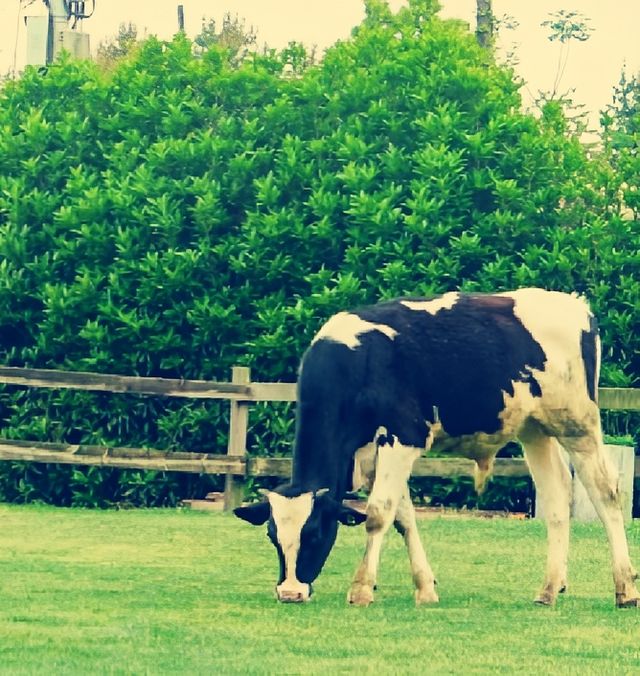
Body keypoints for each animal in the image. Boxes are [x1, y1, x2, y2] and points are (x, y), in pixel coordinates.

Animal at [235, 288, 640, 608]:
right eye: (272, 536)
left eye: (315, 532)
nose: (290, 592)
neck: (357, 362)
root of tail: (574, 304)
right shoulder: (373, 453)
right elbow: (403, 517)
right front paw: (425, 588)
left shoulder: (403, 436)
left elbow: (378, 513)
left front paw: (362, 588)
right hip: (534, 430)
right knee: (556, 499)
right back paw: (549, 589)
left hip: (577, 425)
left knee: (605, 493)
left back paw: (625, 588)